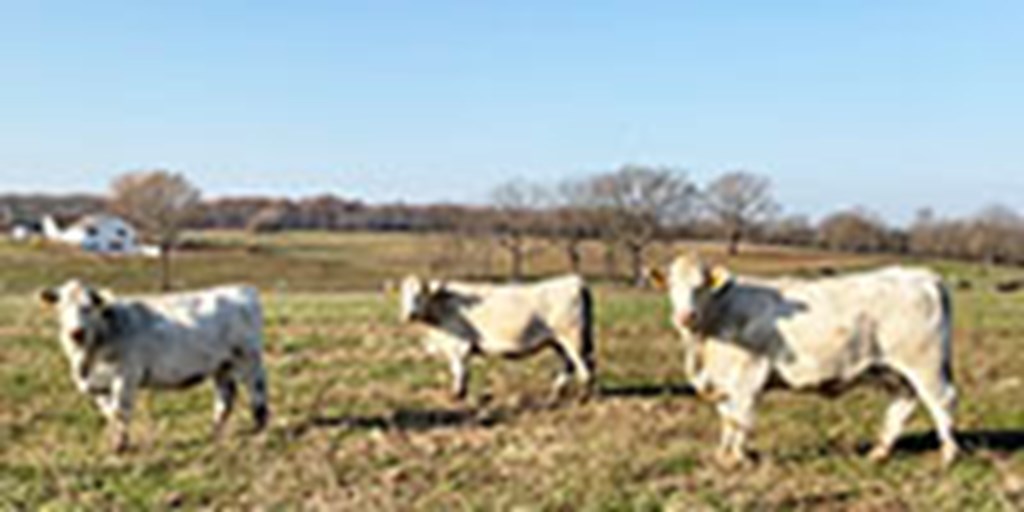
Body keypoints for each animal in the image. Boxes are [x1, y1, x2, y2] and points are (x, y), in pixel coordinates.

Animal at [40, 280, 272, 452]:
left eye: (88, 307)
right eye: (61, 307)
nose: (76, 332)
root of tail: (242, 289)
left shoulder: (126, 378)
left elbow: (120, 412)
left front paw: (120, 446)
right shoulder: (100, 388)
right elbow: (109, 414)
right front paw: (117, 441)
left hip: (249, 359)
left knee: (257, 390)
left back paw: (259, 428)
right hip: (221, 366)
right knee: (225, 398)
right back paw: (215, 431)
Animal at [397, 274, 598, 397]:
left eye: (421, 294)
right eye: (403, 295)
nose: (410, 314)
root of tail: (575, 281)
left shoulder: (459, 344)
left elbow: (458, 369)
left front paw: (458, 393)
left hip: (572, 337)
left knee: (584, 366)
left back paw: (584, 396)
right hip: (558, 341)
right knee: (569, 364)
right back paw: (556, 392)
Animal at [647, 253, 958, 466]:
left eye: (701, 286)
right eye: (671, 285)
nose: (686, 316)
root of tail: (923, 276)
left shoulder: (748, 377)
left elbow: (741, 419)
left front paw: (738, 458)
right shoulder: (724, 382)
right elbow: (728, 419)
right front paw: (724, 455)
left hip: (925, 363)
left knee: (941, 401)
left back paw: (949, 454)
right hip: (892, 370)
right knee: (903, 402)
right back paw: (879, 452)